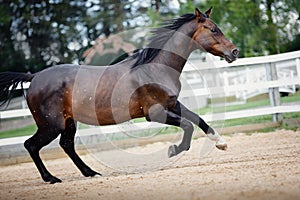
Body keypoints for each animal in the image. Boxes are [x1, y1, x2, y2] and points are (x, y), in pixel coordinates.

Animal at [0, 7, 239, 184]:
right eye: (213, 29)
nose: (234, 52)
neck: (155, 67)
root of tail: (34, 77)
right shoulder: (154, 113)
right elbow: (188, 126)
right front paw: (173, 151)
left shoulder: (172, 103)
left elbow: (198, 119)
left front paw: (221, 143)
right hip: (51, 125)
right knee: (31, 145)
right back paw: (51, 178)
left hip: (68, 122)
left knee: (66, 145)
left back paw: (91, 173)